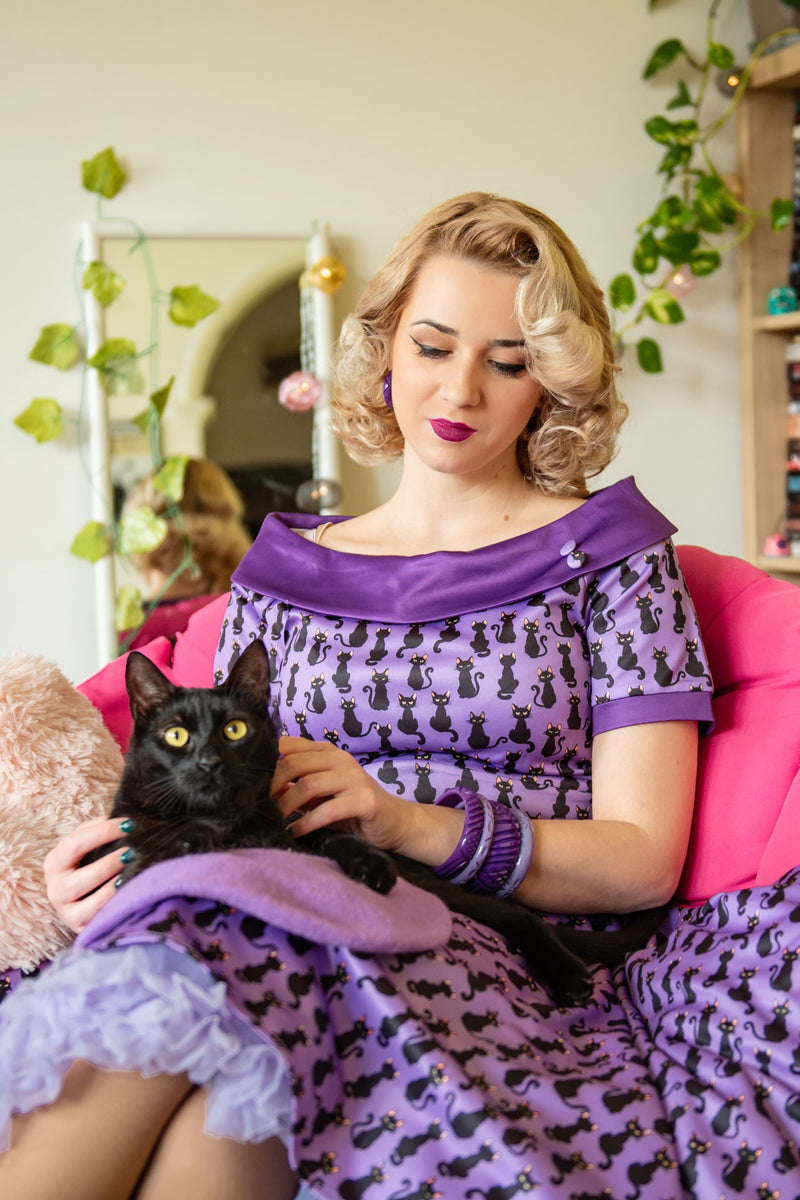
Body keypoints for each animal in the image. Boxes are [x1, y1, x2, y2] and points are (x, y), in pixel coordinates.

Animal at [94, 643, 666, 1008]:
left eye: (235, 730)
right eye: (175, 736)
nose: (208, 761)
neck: (228, 823)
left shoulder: (295, 836)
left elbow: (332, 838)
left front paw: (367, 865)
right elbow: (163, 844)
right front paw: (181, 845)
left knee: (519, 917)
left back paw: (568, 975)